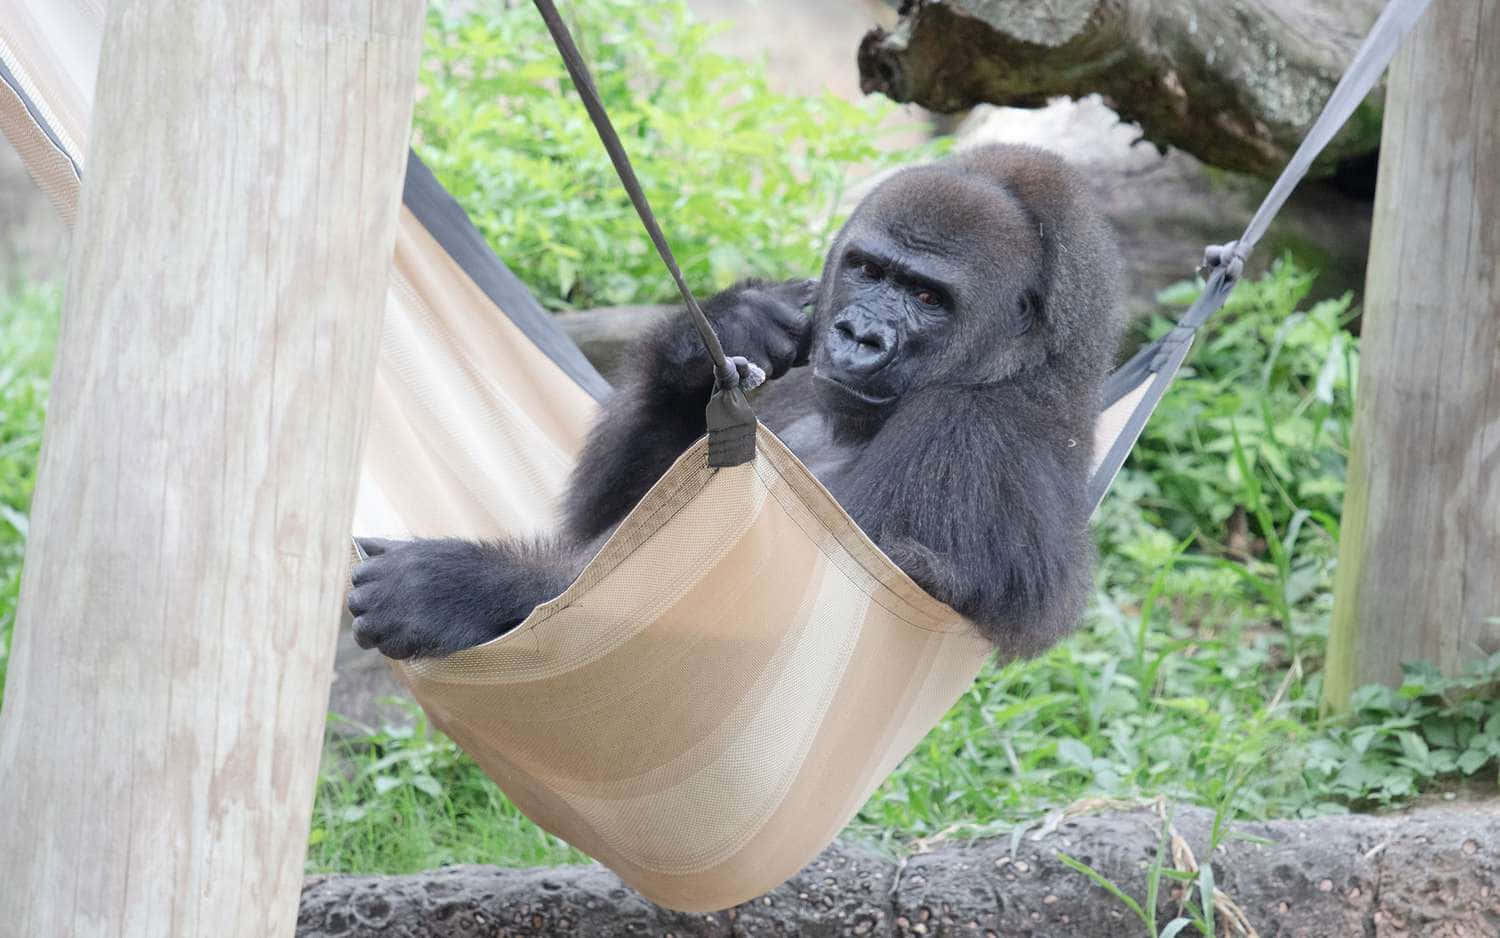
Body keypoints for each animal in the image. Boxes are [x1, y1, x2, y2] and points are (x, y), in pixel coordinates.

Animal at [348, 143, 1125, 661]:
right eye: (869, 270)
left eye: (929, 298)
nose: (860, 336)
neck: (1023, 369)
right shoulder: (806, 375)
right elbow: (600, 520)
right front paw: (724, 331)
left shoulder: (970, 437)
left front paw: (454, 590)